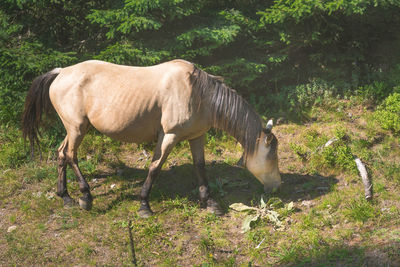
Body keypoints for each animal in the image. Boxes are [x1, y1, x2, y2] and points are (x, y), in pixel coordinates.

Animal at [21, 59, 282, 219]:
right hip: (77, 128)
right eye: (272, 155)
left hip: (73, 129)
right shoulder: (169, 136)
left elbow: (200, 167)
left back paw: (65, 197)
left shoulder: (197, 136)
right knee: (70, 155)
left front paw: (210, 203)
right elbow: (155, 167)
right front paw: (144, 205)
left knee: (60, 153)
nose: (278, 186)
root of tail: (61, 72)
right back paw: (85, 197)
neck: (198, 94)